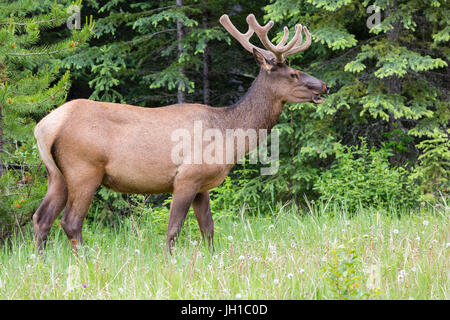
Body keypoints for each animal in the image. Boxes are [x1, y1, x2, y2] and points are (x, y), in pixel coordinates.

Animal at [31, 13, 326, 252]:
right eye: (293, 74)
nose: (324, 86)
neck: (229, 135)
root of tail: (45, 126)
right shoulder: (187, 176)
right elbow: (174, 229)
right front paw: (169, 262)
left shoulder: (202, 185)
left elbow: (208, 229)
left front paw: (212, 259)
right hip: (84, 169)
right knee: (70, 221)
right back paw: (86, 261)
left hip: (56, 174)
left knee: (41, 217)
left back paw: (41, 262)